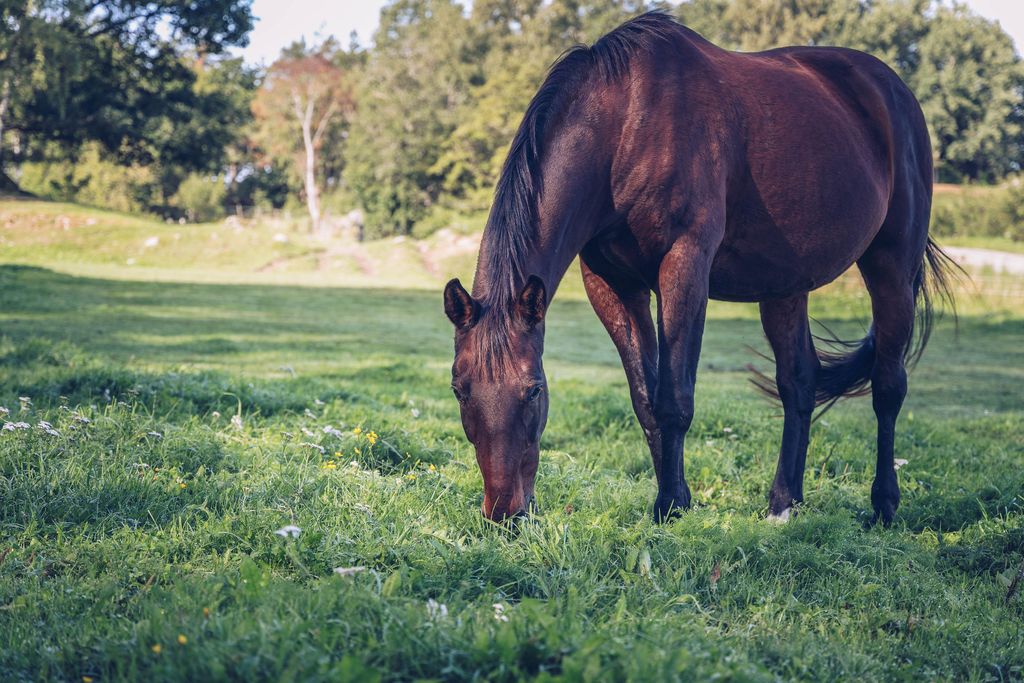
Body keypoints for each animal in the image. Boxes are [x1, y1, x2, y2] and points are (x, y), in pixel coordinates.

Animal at [443, 12, 954, 525]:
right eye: (460, 390)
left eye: (534, 390)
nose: (504, 512)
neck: (625, 127)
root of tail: (892, 91)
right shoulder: (611, 283)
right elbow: (645, 399)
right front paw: (673, 497)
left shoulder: (684, 265)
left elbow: (674, 399)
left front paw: (672, 504)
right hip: (785, 285)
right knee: (799, 382)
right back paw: (783, 502)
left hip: (892, 266)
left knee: (888, 385)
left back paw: (884, 504)